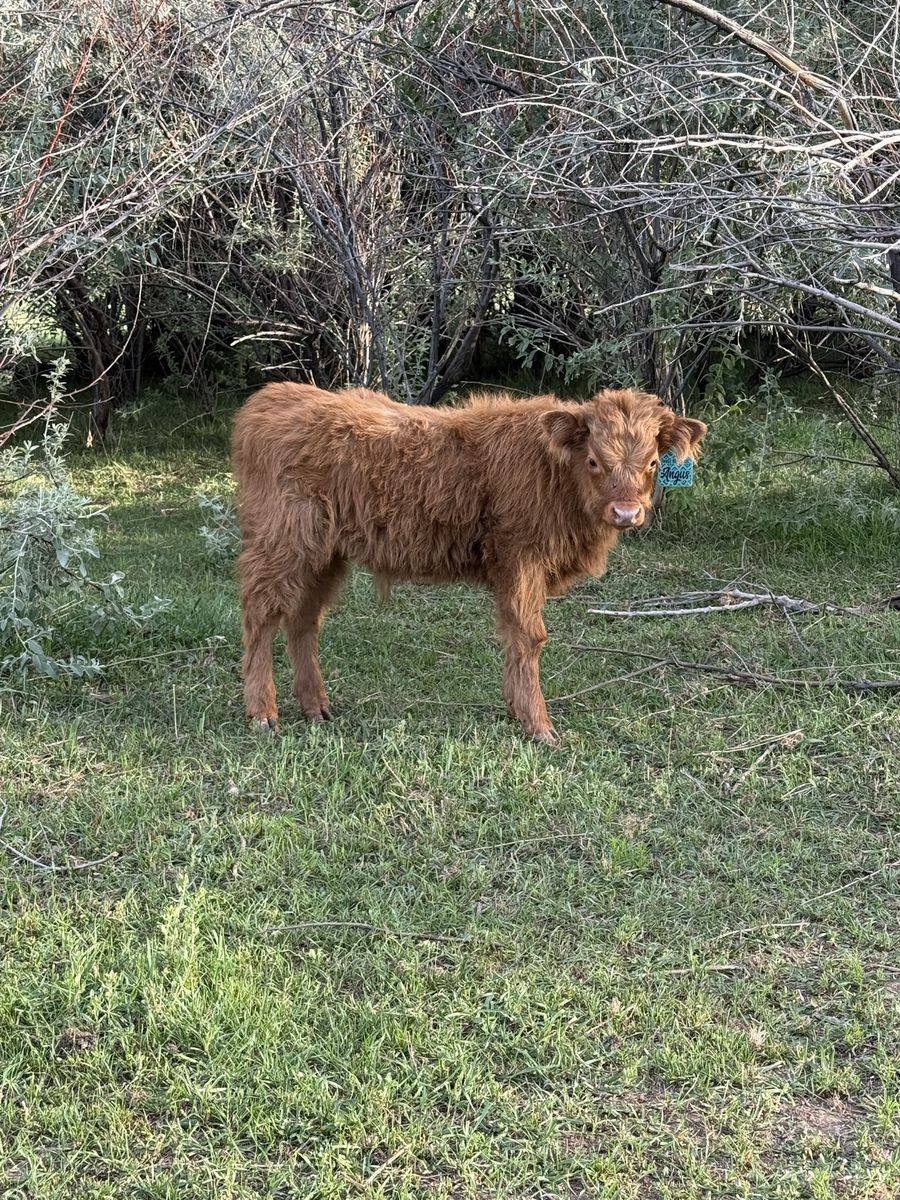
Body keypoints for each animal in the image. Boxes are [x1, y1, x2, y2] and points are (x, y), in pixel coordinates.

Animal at [231, 383, 706, 742]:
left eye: (652, 462)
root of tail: (271, 398)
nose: (626, 513)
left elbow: (515, 635)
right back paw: (262, 713)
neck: (555, 475)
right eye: (594, 460)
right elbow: (529, 635)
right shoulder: (520, 558)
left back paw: (315, 706)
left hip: (322, 556)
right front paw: (539, 725)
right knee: (261, 615)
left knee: (303, 620)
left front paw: (517, 710)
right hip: (282, 543)